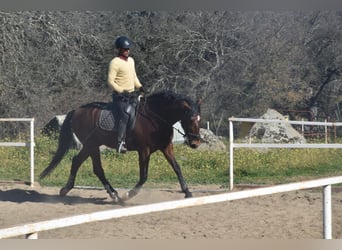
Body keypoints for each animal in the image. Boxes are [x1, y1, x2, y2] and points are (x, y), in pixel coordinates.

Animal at [39, 90, 202, 203]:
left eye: (199, 120)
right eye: (189, 118)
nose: (195, 143)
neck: (155, 118)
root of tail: (76, 111)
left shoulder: (166, 147)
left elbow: (177, 167)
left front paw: (187, 192)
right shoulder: (144, 151)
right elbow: (143, 176)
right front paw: (128, 195)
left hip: (91, 145)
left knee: (80, 163)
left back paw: (69, 190)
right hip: (91, 144)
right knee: (94, 167)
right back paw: (114, 195)